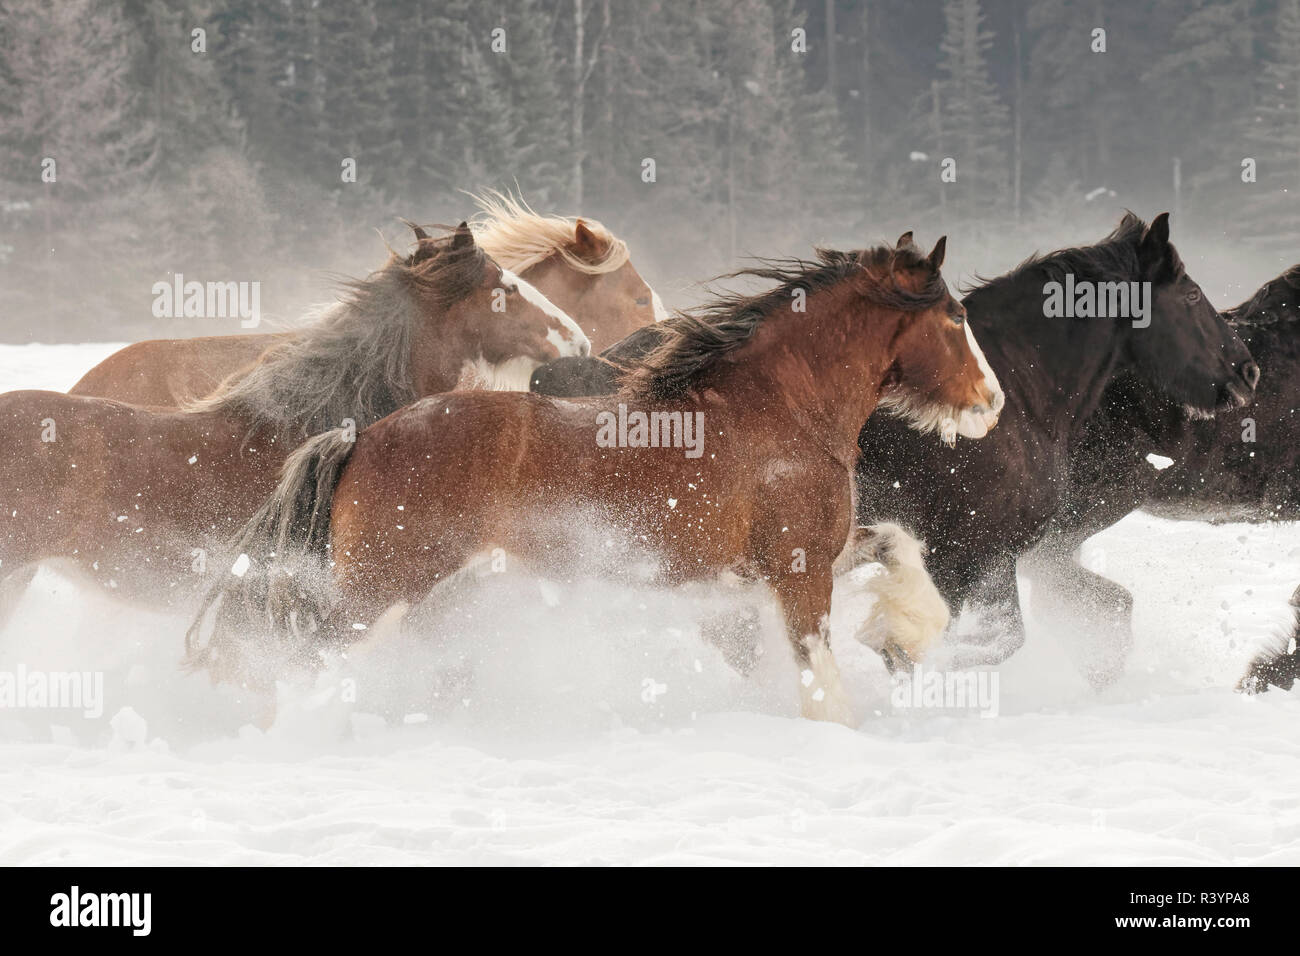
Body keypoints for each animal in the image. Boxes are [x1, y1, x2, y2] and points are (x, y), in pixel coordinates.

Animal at [190, 234, 1004, 723]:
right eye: (954, 317)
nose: (991, 401)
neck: (777, 408)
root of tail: (361, 437)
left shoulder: (804, 558)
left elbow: (897, 544)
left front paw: (908, 634)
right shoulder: (797, 571)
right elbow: (820, 673)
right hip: (382, 589)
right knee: (311, 661)